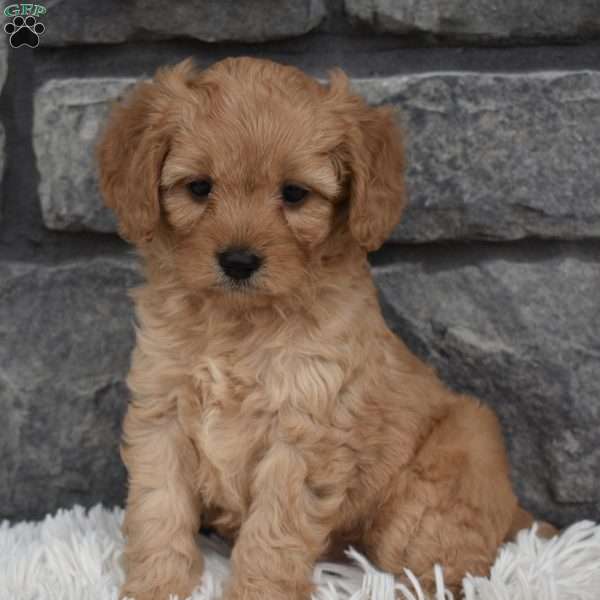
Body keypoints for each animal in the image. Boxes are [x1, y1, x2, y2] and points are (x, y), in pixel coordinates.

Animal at [98, 57, 536, 600]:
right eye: (198, 187)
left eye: (294, 194)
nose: (239, 262)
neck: (238, 322)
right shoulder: (161, 413)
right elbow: (158, 511)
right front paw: (156, 585)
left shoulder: (304, 433)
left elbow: (272, 532)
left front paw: (257, 593)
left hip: (446, 472)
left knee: (449, 568)